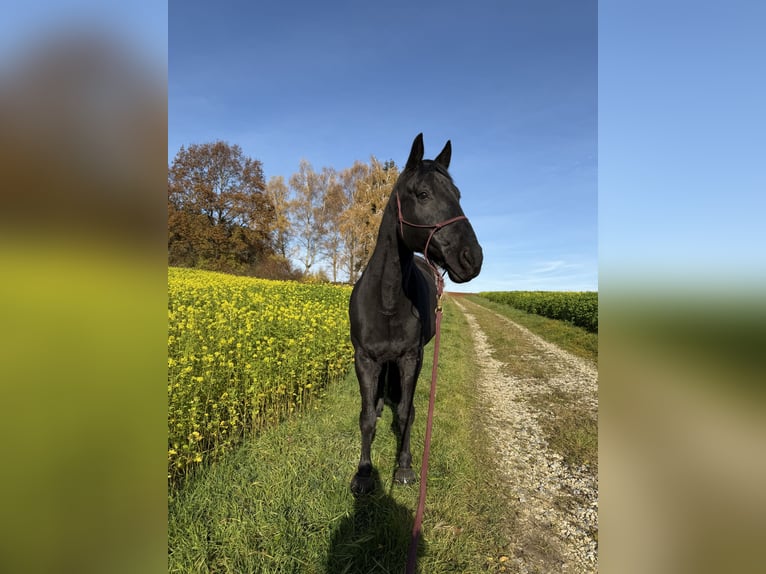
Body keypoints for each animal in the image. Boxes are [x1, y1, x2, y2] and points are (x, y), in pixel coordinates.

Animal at [348, 133, 483, 495]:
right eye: (423, 194)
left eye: (458, 196)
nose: (472, 258)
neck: (387, 299)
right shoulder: (364, 358)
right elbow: (366, 417)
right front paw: (363, 473)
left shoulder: (412, 357)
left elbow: (407, 412)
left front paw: (405, 467)